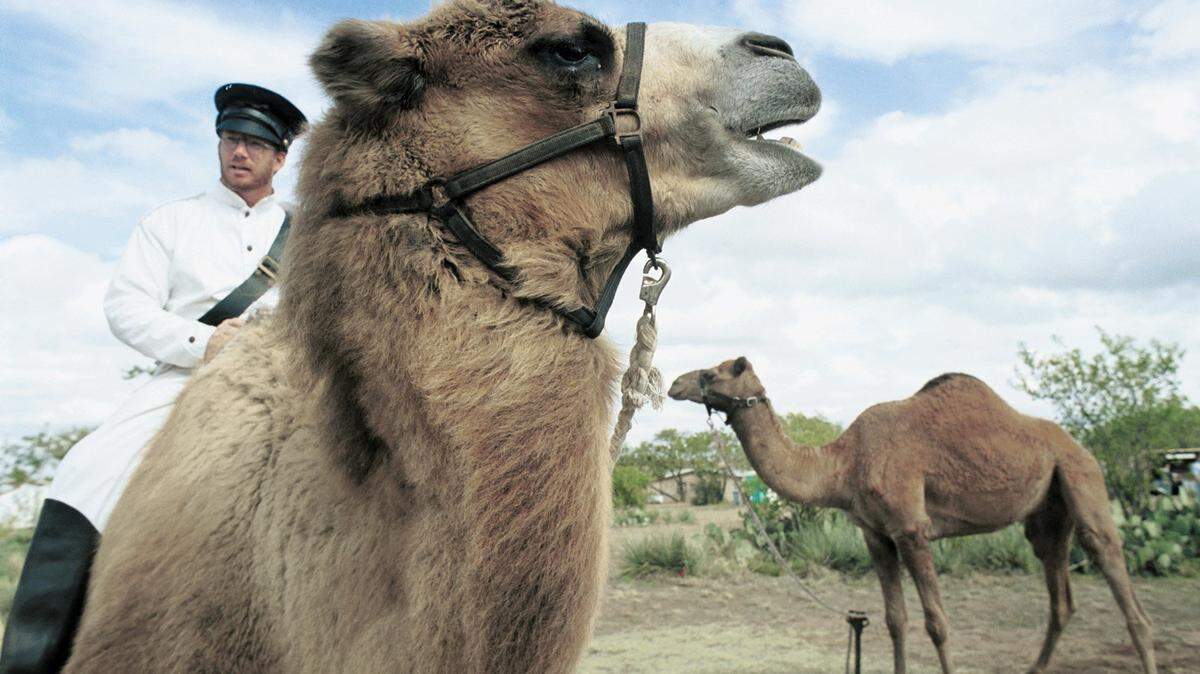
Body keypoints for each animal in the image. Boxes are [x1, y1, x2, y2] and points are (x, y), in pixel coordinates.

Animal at [669, 357, 1157, 674]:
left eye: (711, 372)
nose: (675, 384)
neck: (845, 463)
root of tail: (1077, 445)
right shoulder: (876, 536)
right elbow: (894, 621)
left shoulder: (911, 530)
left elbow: (937, 624)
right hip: (1048, 515)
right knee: (1060, 596)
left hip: (1081, 476)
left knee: (1118, 577)